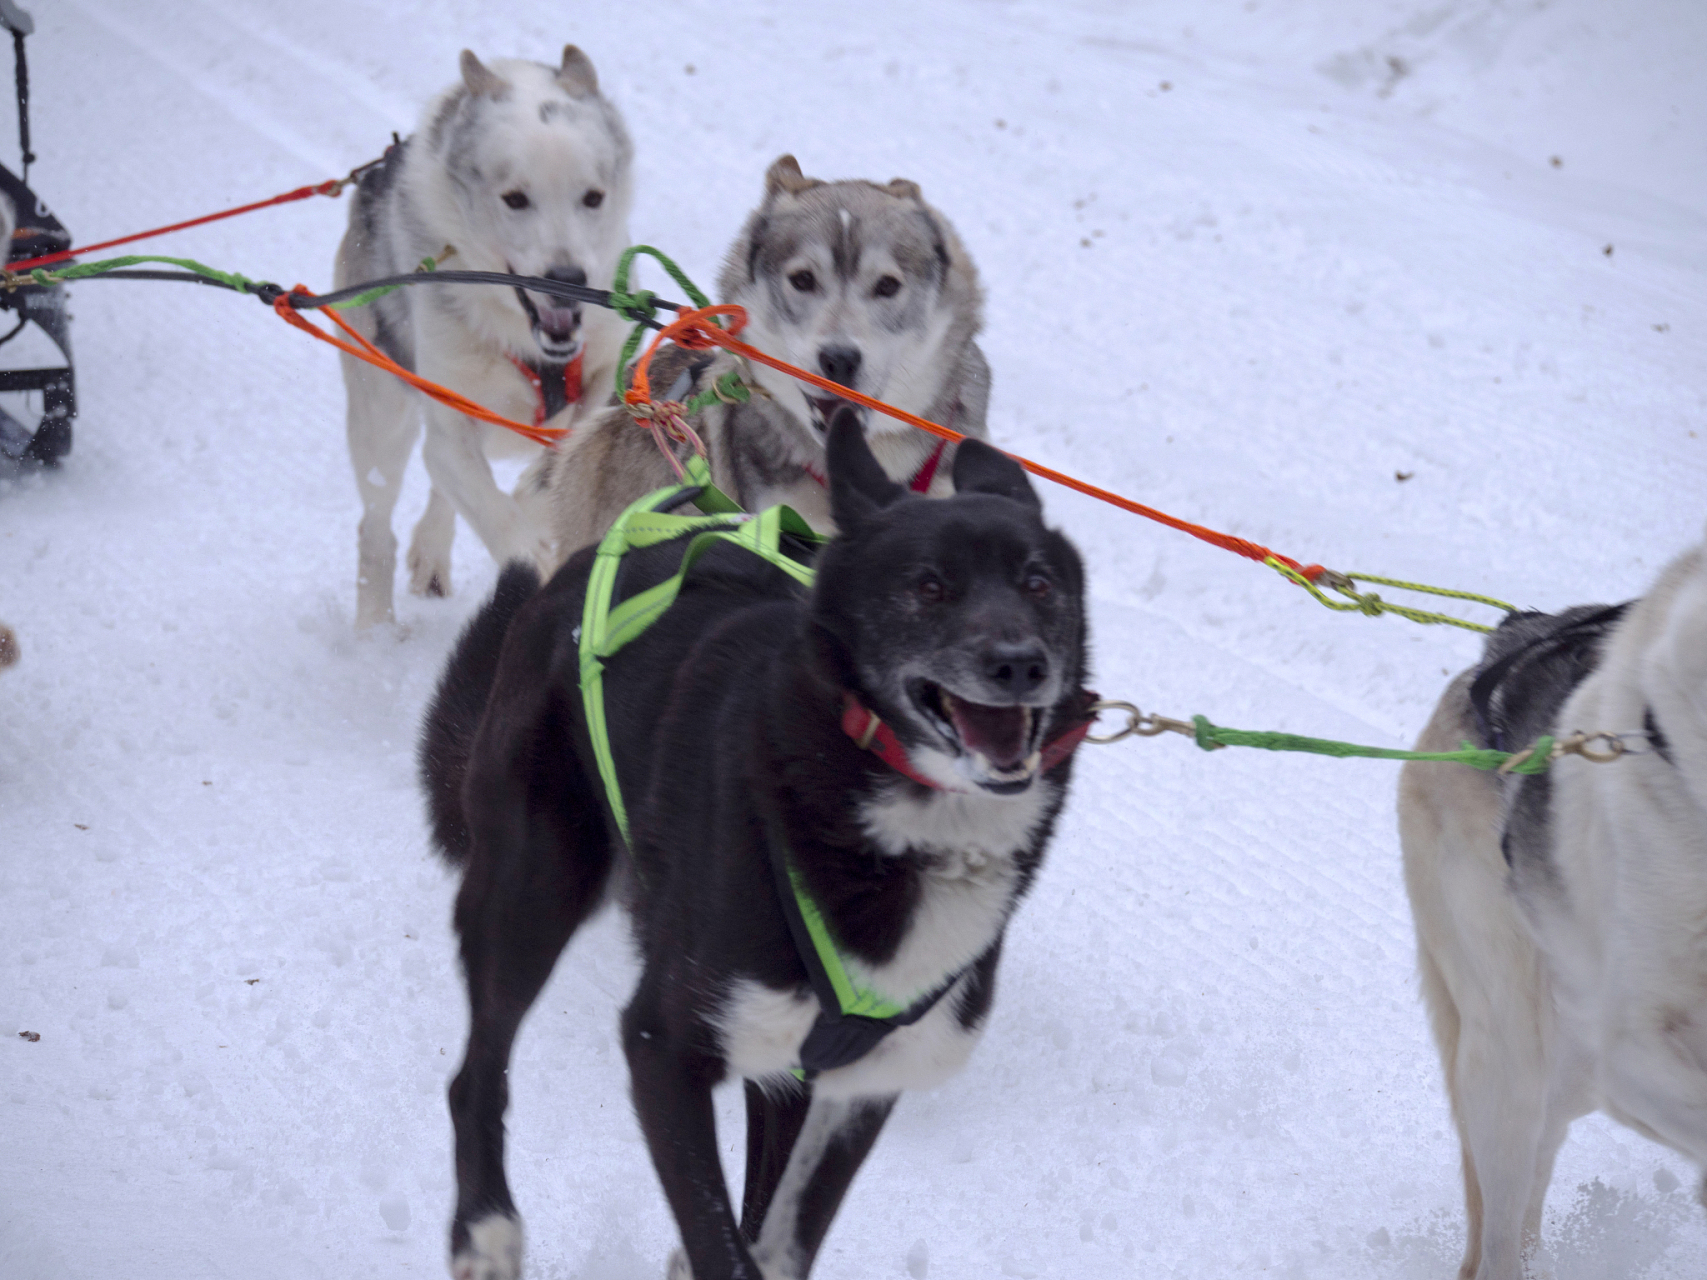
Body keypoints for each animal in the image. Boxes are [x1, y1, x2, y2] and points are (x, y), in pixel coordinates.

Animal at [419, 413, 1085, 1280]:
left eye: (1038, 583)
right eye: (928, 586)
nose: (1019, 664)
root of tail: (580, 564)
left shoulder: (856, 1085)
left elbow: (775, 1240)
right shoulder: (662, 1047)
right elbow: (721, 1244)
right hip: (530, 894)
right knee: (477, 1073)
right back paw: (486, 1232)